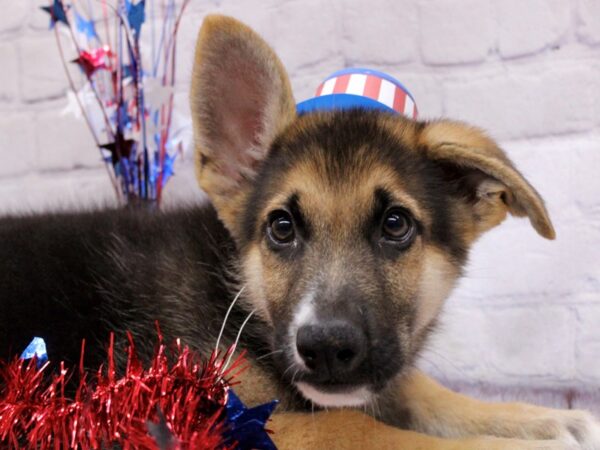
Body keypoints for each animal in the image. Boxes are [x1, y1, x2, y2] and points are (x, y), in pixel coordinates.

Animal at [1, 14, 600, 450]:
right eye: (282, 228)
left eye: (396, 224)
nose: (327, 348)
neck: (241, 303)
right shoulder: (229, 418)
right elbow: (368, 430)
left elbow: (419, 390)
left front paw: (550, 419)